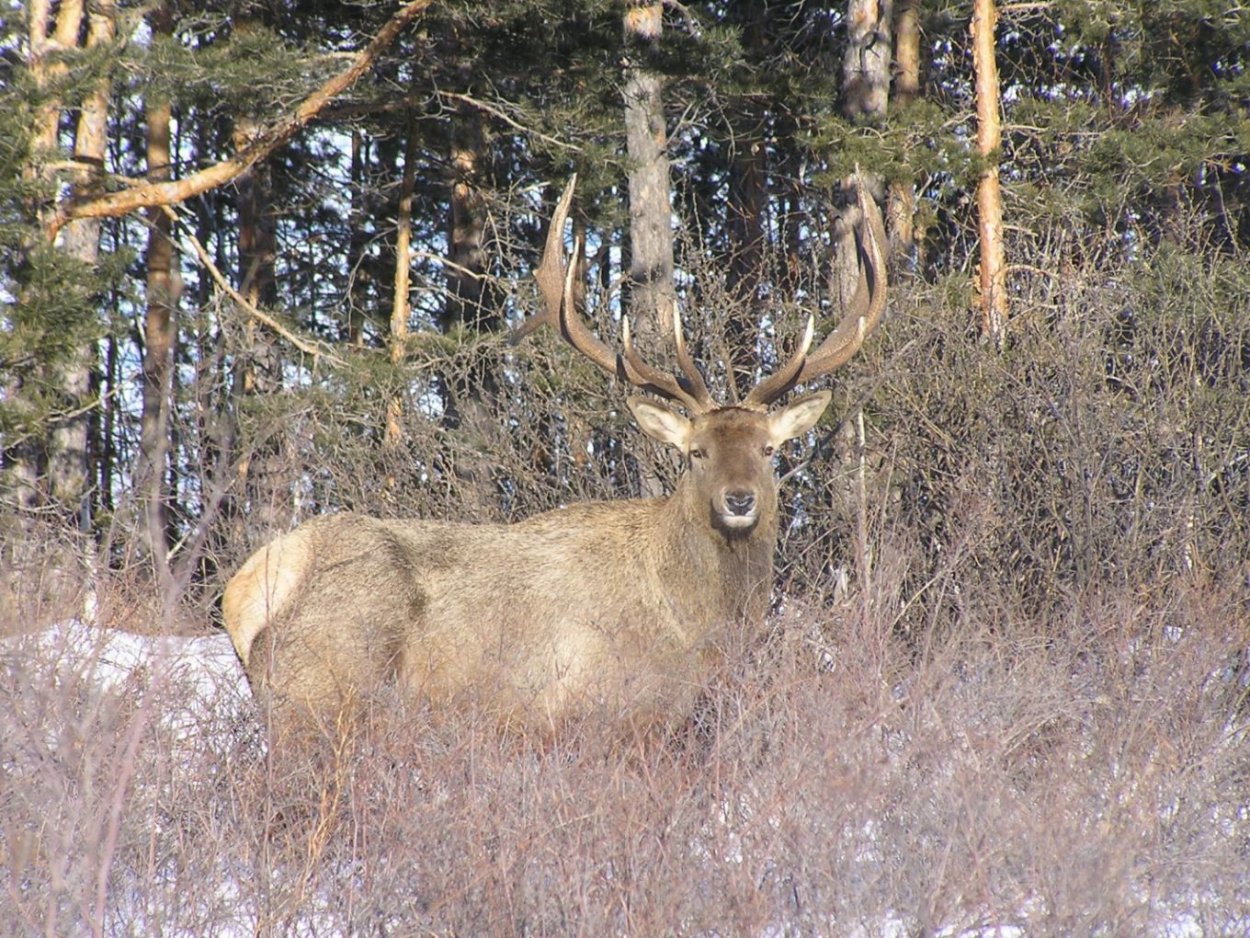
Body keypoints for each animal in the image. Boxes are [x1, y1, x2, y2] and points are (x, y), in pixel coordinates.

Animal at [225, 177, 890, 740]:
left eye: (770, 449)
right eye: (695, 453)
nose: (740, 498)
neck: (697, 625)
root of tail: (245, 593)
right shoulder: (604, 711)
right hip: (324, 692)